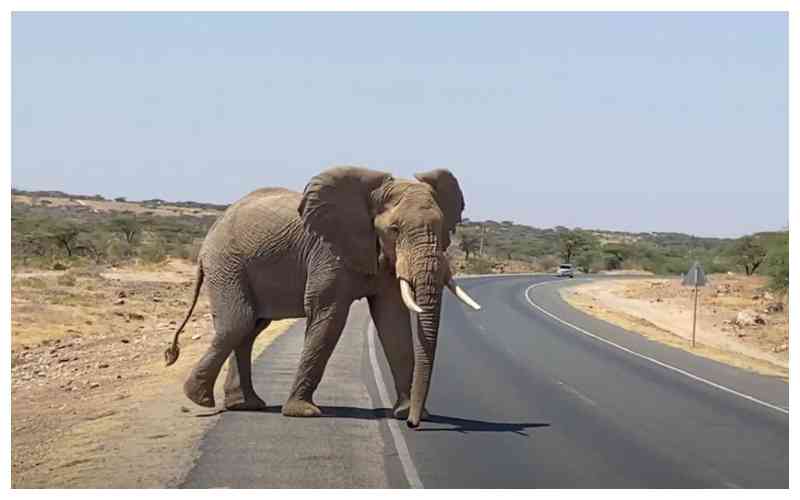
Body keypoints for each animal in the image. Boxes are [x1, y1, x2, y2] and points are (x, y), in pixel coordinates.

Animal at [164, 166, 481, 428]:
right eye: (394, 229)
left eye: (442, 228)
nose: (415, 424)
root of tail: (211, 233)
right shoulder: (328, 251)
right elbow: (329, 316)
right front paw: (302, 412)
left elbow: (392, 322)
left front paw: (404, 412)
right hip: (227, 265)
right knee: (237, 324)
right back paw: (200, 398)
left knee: (250, 329)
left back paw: (245, 405)